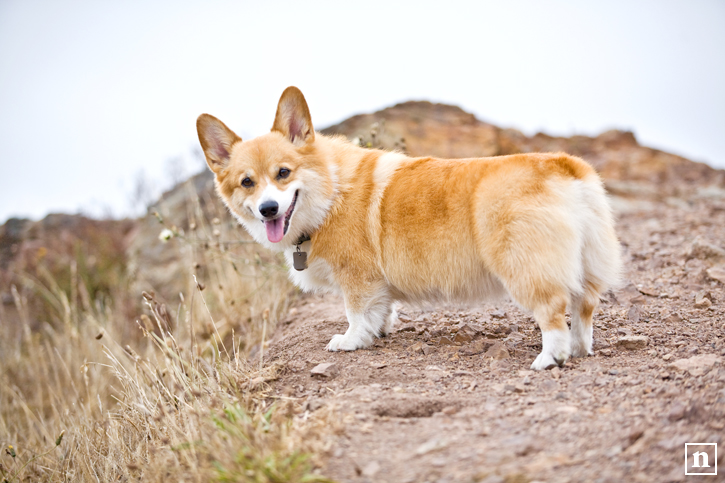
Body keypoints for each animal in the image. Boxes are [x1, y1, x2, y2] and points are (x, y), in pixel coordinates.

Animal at [195, 86, 620, 370]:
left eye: (283, 173)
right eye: (247, 182)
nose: (268, 209)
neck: (331, 190)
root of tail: (565, 166)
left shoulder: (357, 277)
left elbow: (355, 313)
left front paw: (351, 341)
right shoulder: (376, 285)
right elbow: (380, 311)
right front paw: (380, 333)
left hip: (526, 267)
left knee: (554, 311)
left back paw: (550, 358)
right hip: (587, 262)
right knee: (584, 308)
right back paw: (580, 350)